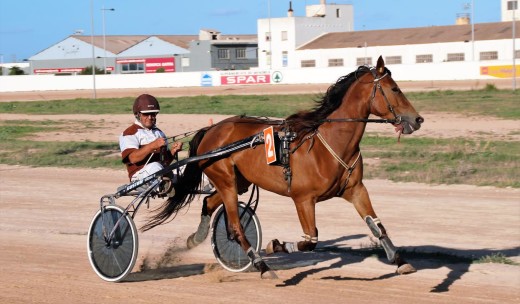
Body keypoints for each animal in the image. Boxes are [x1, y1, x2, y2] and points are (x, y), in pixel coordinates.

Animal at [141, 56, 422, 278]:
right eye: (395, 89)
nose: (417, 119)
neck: (331, 143)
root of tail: (212, 129)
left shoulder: (356, 189)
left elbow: (377, 225)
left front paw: (400, 261)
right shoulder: (303, 199)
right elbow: (310, 241)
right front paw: (273, 246)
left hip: (238, 182)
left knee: (209, 203)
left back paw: (195, 239)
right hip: (226, 181)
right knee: (236, 226)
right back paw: (262, 266)